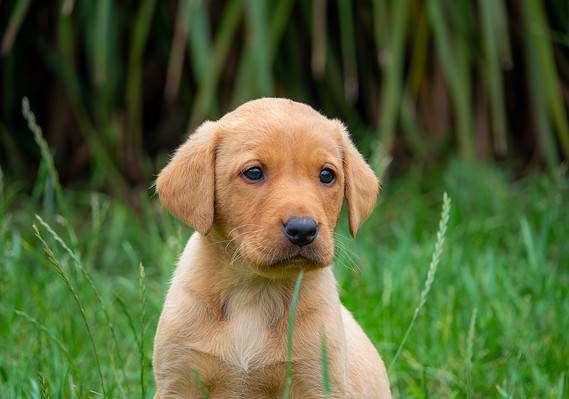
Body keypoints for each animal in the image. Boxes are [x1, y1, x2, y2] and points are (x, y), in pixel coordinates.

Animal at [151, 97, 390, 399]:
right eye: (254, 172)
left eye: (327, 175)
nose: (303, 230)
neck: (254, 291)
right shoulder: (179, 378)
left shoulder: (317, 379)